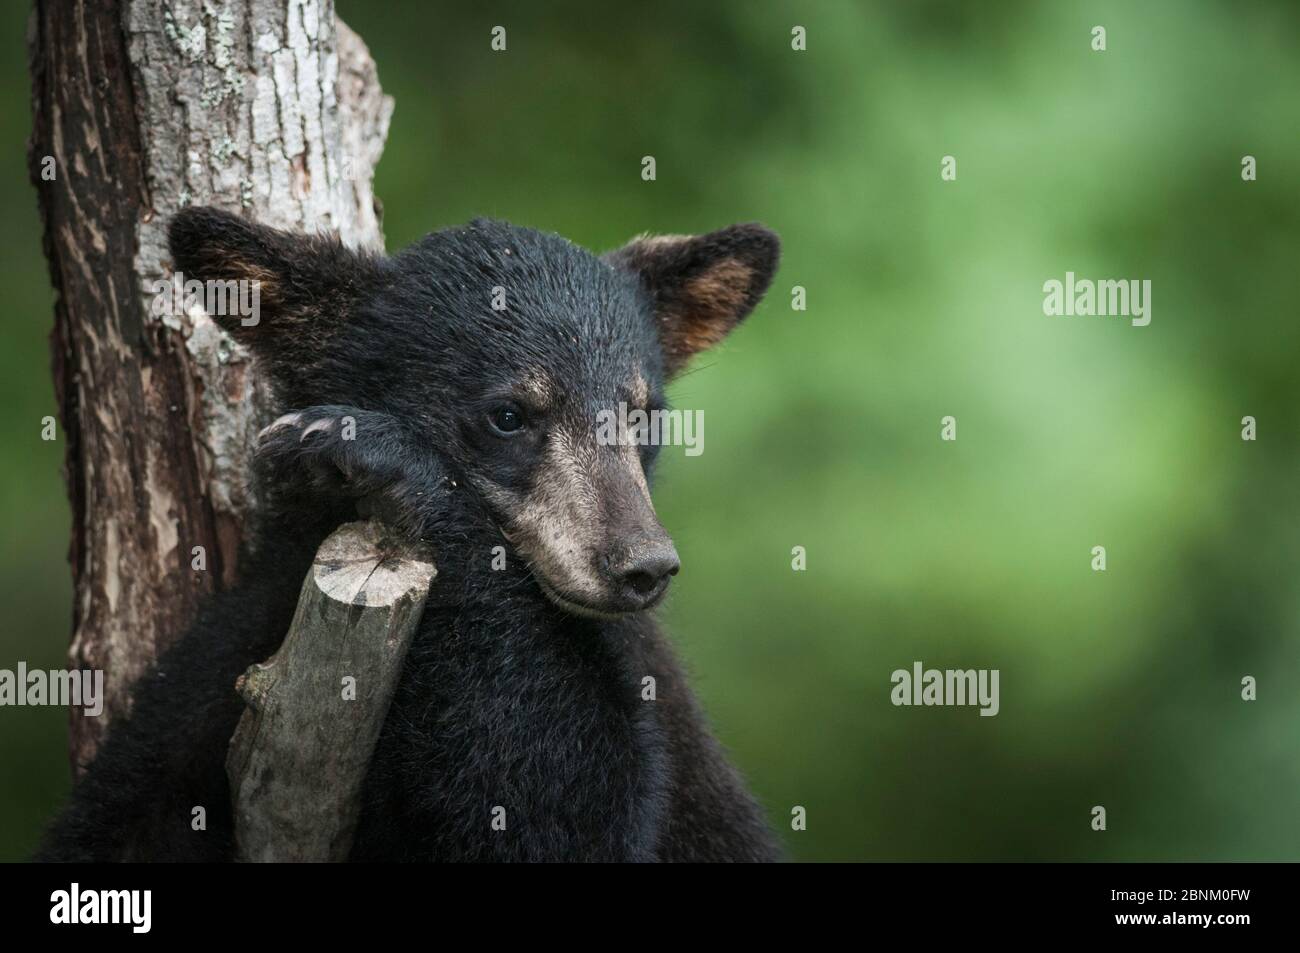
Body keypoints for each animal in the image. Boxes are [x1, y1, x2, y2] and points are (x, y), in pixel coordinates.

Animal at [36, 206, 782, 862]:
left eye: (643, 415)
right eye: (508, 414)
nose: (642, 564)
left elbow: (566, 810)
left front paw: (381, 453)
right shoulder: (230, 658)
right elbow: (127, 810)